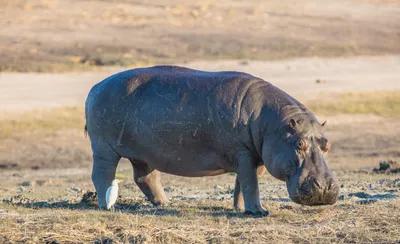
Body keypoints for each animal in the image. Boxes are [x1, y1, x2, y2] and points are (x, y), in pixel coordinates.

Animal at [84, 65, 338, 215]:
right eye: (299, 144)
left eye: (327, 144)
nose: (325, 188)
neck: (274, 124)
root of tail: (95, 87)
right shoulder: (244, 153)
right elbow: (250, 183)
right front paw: (259, 212)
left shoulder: (255, 155)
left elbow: (244, 184)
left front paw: (242, 208)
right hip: (104, 148)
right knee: (102, 174)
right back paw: (107, 206)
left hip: (144, 153)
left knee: (145, 177)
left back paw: (165, 203)